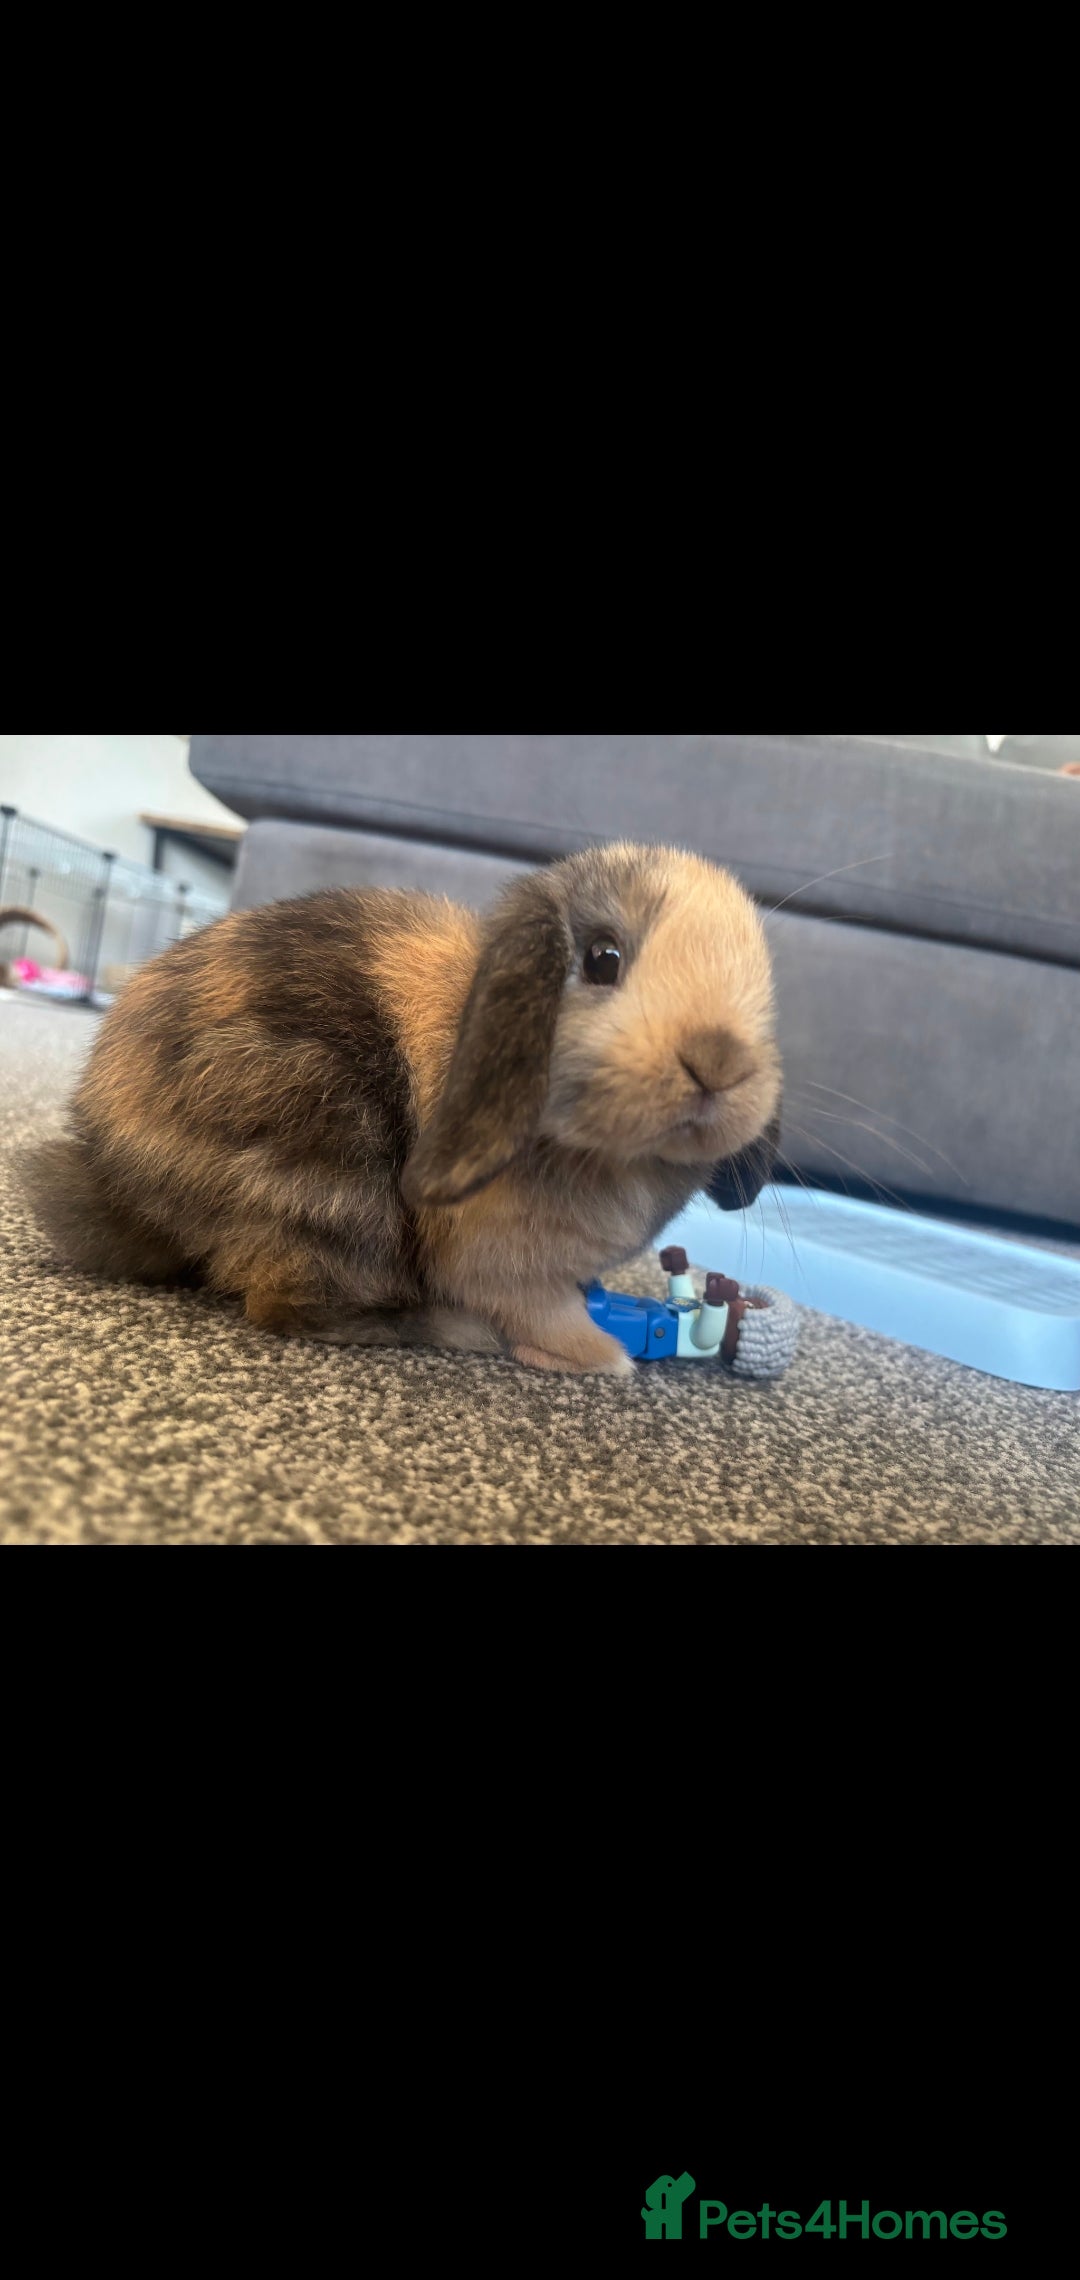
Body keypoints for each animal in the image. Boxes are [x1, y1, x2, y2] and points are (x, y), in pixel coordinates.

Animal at [25, 841, 782, 1373]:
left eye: (764, 983)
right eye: (603, 958)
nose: (720, 1062)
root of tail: (112, 1174)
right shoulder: (504, 1268)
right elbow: (549, 1314)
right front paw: (606, 1357)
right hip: (340, 1175)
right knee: (285, 1305)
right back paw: (455, 1332)